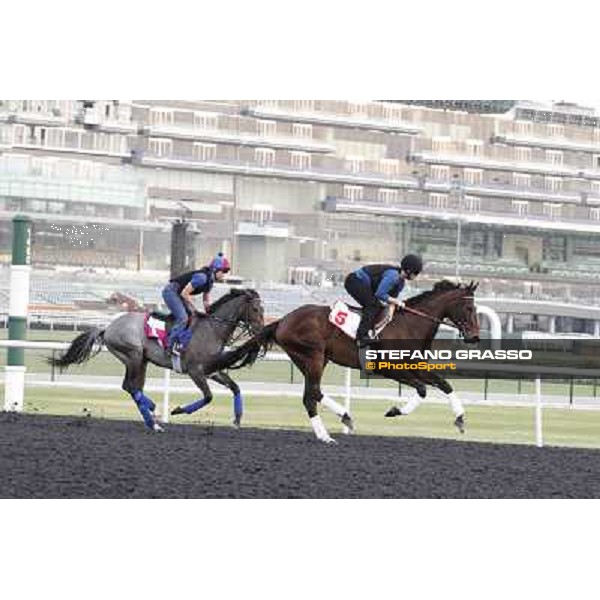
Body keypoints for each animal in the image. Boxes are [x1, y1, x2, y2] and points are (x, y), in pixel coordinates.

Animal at [50, 290, 266, 432]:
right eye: (256, 309)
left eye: (263, 310)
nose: (261, 331)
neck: (211, 329)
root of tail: (108, 327)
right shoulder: (195, 371)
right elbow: (208, 397)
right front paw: (178, 410)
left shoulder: (211, 371)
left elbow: (235, 387)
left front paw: (237, 420)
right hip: (133, 355)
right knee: (129, 386)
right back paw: (153, 414)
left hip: (142, 360)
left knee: (134, 388)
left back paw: (152, 419)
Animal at [209, 280, 480, 440]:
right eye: (469, 309)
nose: (475, 336)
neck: (410, 325)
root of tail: (283, 320)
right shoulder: (389, 368)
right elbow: (423, 389)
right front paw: (394, 410)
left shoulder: (414, 366)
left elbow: (443, 383)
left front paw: (460, 418)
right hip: (313, 356)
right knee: (312, 394)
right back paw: (334, 427)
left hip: (311, 359)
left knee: (312, 394)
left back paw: (335, 425)